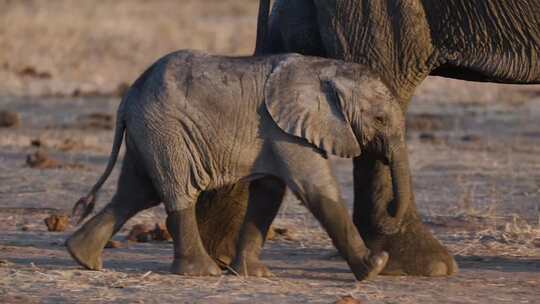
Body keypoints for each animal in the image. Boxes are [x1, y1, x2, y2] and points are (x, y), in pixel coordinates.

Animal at [66, 49, 410, 280]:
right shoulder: (284, 129)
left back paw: (81, 257)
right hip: (166, 129)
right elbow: (316, 187)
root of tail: (126, 99)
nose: (390, 210)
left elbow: (269, 193)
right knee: (176, 191)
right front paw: (374, 267)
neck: (325, 69)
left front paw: (252, 274)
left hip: (147, 132)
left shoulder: (276, 133)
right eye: (380, 119)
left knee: (135, 193)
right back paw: (203, 272)